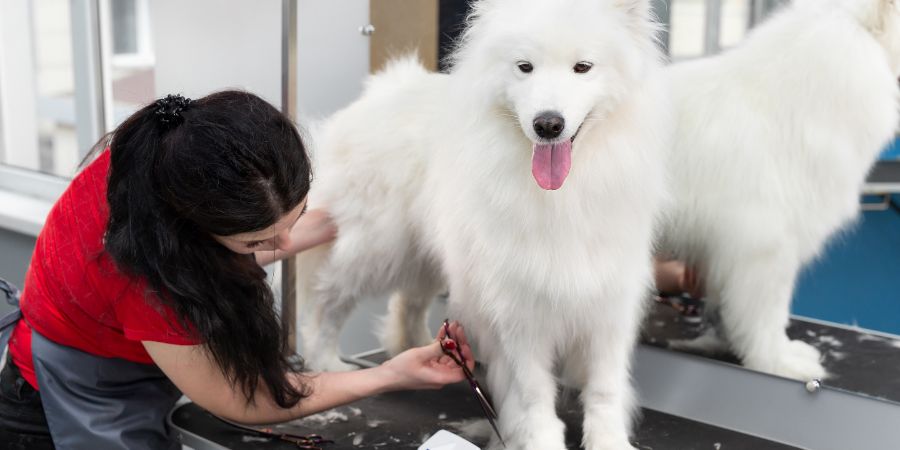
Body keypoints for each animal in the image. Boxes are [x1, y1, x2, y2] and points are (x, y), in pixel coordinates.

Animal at [298, 0, 672, 446]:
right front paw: (541, 440)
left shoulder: (607, 303)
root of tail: (383, 90)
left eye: (583, 67)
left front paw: (609, 441)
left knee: (407, 302)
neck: (562, 194)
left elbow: (605, 389)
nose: (548, 124)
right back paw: (326, 361)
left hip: (430, 254)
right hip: (376, 248)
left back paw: (420, 348)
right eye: (524, 67)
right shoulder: (519, 306)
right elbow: (533, 393)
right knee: (328, 300)